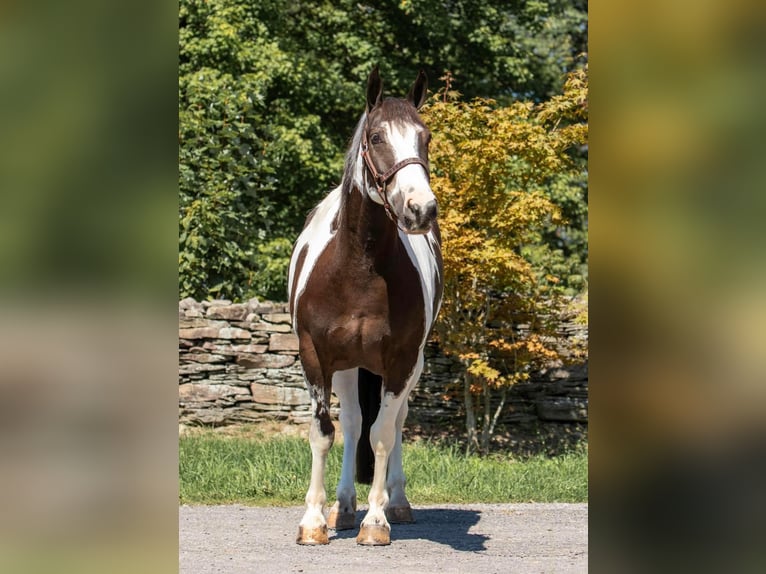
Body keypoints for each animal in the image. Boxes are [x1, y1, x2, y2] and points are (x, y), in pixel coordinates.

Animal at [286, 68, 444, 548]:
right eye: (376, 137)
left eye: (425, 136)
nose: (420, 209)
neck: (359, 268)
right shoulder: (315, 356)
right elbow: (324, 433)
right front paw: (314, 521)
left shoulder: (401, 360)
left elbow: (382, 436)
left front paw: (376, 522)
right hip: (348, 367)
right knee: (353, 421)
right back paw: (342, 507)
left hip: (408, 367)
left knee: (393, 423)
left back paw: (395, 502)